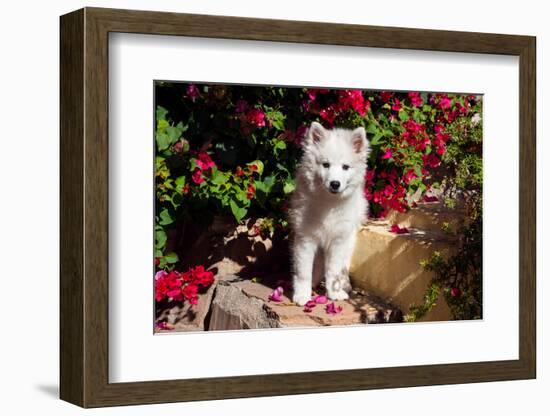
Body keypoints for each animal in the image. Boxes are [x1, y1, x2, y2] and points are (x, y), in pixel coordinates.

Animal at [288, 120, 370, 306]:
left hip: (349, 239)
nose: (335, 184)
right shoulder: (305, 239)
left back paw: (344, 284)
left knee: (343, 266)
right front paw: (302, 295)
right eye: (325, 165)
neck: (329, 203)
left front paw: (334, 293)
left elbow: (333, 270)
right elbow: (303, 271)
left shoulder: (338, 241)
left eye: (345, 167)